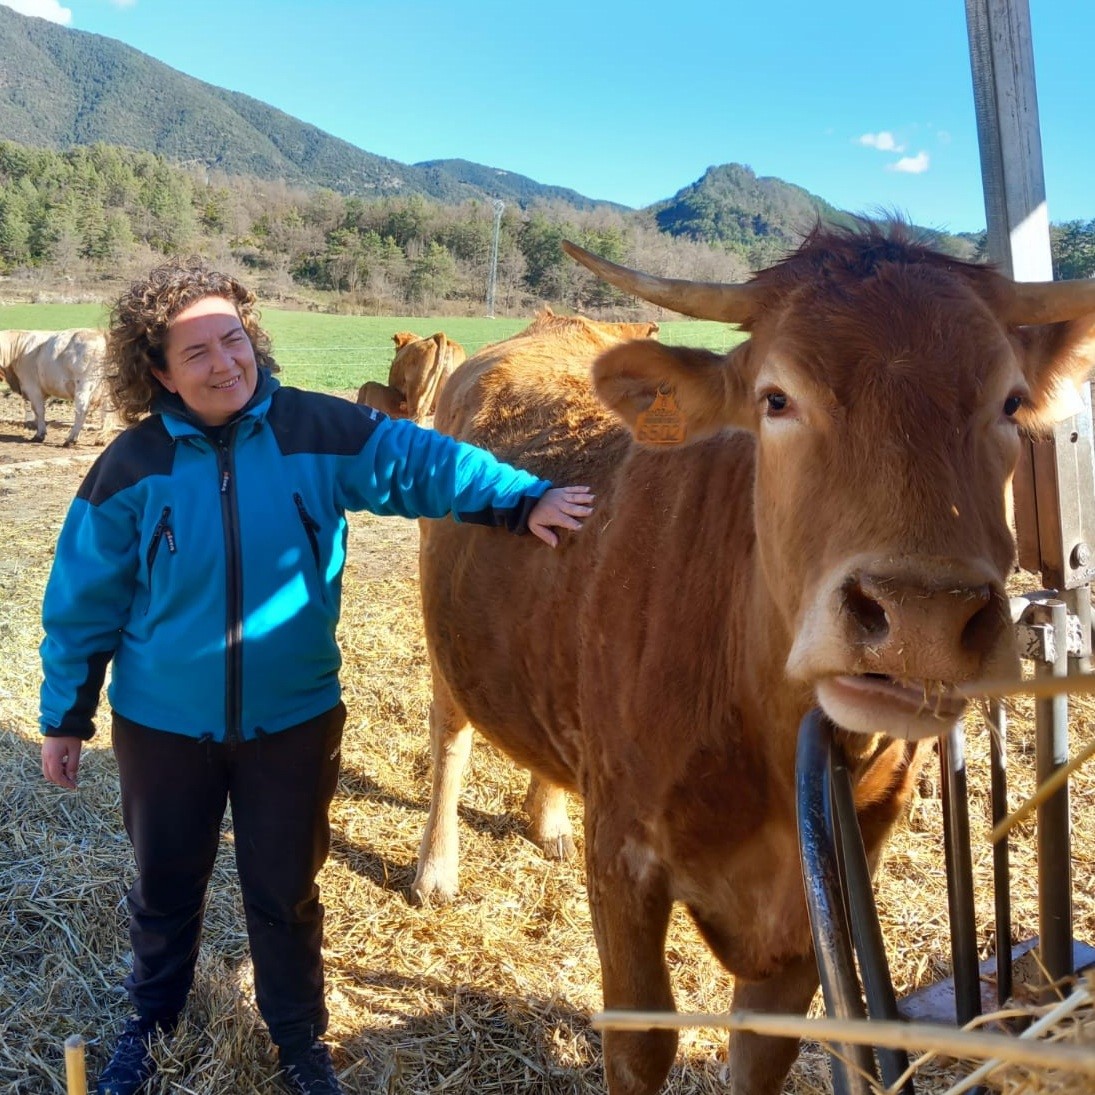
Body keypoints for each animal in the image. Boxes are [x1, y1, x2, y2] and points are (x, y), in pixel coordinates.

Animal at [409, 224, 1095, 1095]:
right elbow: (639, 1045)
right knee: (451, 733)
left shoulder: (818, 892)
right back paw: (435, 869)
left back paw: (548, 815)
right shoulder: (623, 861)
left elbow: (762, 1049)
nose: (921, 617)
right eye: (775, 398)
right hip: (448, 644)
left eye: (1009, 402)